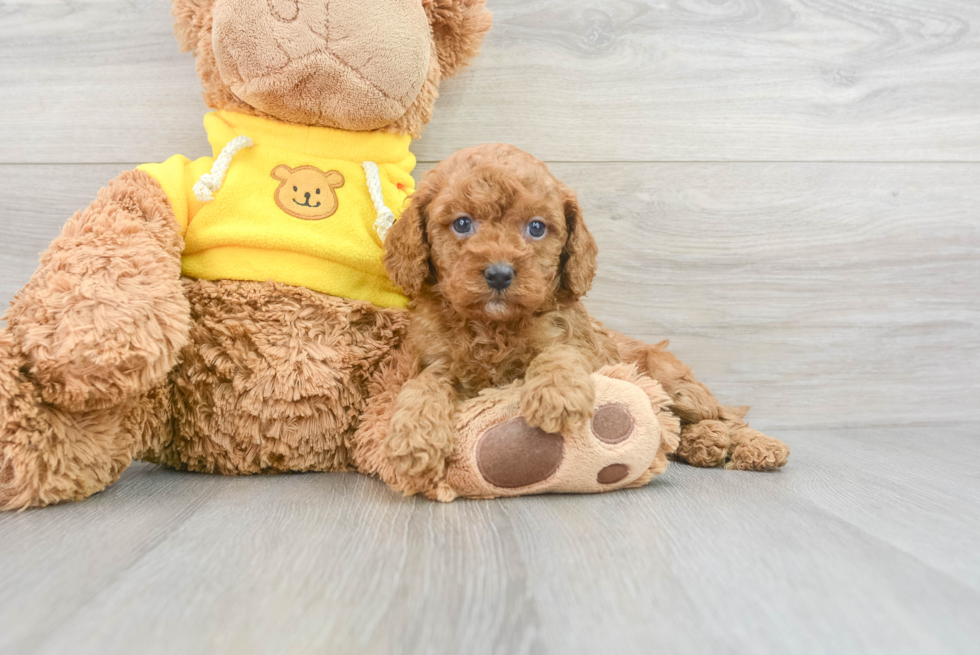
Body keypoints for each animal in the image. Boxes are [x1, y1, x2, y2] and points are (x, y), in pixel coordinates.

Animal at [382, 146, 788, 484]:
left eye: (536, 227)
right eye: (462, 223)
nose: (499, 274)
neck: (494, 325)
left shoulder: (577, 341)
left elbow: (559, 353)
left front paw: (556, 394)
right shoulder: (433, 359)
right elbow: (425, 384)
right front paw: (414, 438)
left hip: (672, 380)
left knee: (723, 416)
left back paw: (755, 446)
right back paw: (702, 443)